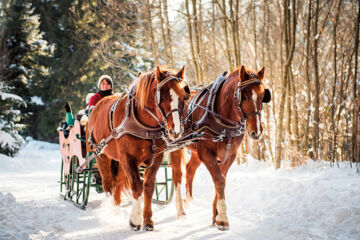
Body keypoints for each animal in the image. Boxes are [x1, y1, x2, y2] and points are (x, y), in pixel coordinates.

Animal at [88, 65, 190, 231]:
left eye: (183, 97)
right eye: (162, 98)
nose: (175, 131)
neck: (144, 124)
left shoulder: (156, 158)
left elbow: (148, 187)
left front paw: (148, 220)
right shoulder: (128, 158)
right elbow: (136, 186)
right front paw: (135, 220)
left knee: (118, 181)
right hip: (101, 154)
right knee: (108, 184)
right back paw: (112, 211)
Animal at [169, 65, 270, 231]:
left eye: (263, 97)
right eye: (244, 97)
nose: (256, 131)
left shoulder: (229, 155)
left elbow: (221, 180)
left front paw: (216, 215)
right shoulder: (206, 153)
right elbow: (219, 180)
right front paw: (223, 219)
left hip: (195, 151)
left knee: (190, 169)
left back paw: (188, 199)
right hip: (176, 145)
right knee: (177, 175)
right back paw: (180, 209)